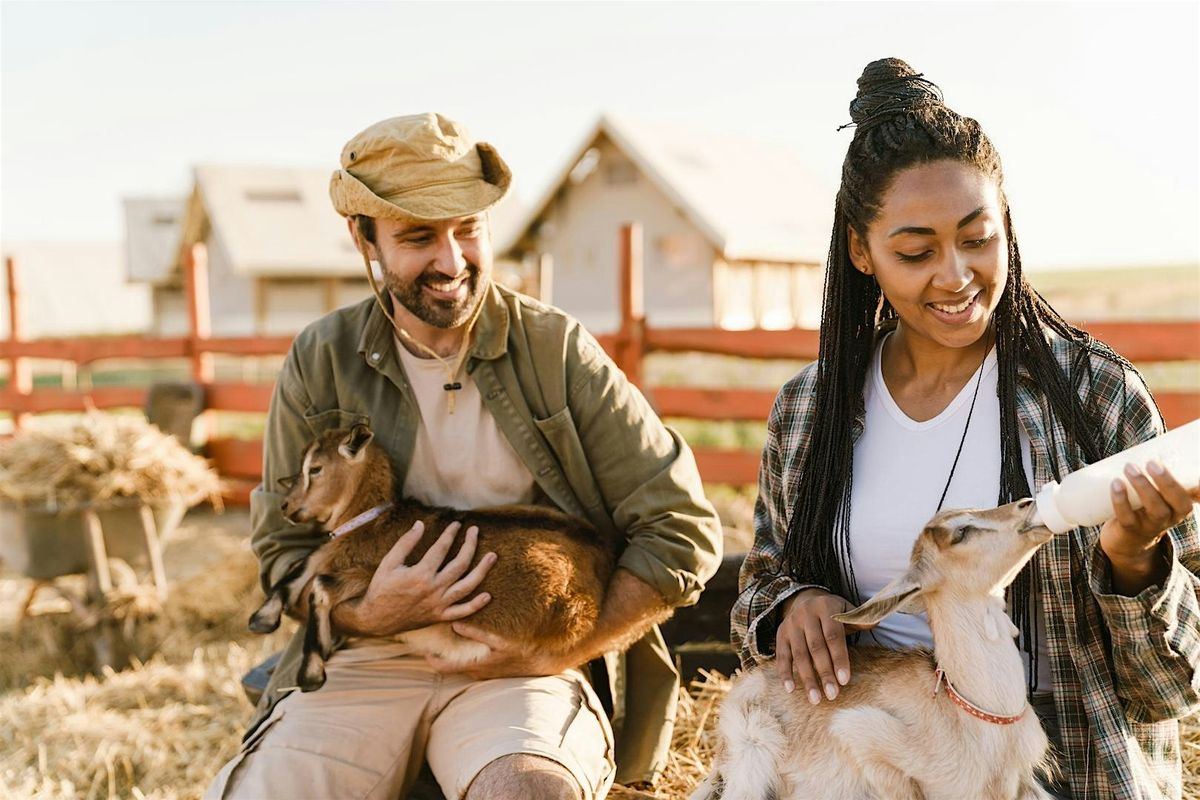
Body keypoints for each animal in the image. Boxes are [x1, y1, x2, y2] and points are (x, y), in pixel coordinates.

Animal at [243, 422, 619, 690]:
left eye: (316, 469)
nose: (286, 506)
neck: (372, 520)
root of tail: (601, 552)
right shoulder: (334, 555)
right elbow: (299, 567)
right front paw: (262, 619)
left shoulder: (377, 575)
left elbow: (319, 584)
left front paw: (310, 673)